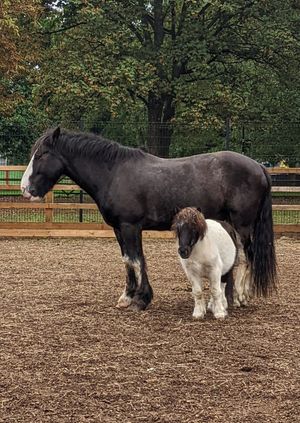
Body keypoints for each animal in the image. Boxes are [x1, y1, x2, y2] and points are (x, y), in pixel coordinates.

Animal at [20, 127, 276, 310]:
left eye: (41, 154)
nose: (25, 189)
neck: (114, 173)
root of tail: (259, 167)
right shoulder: (120, 228)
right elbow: (128, 260)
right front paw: (128, 297)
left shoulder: (130, 226)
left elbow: (135, 260)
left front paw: (141, 299)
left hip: (243, 225)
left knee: (247, 257)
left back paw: (241, 297)